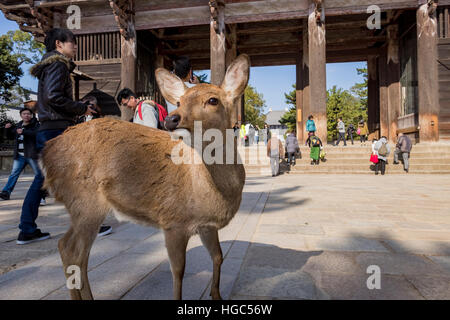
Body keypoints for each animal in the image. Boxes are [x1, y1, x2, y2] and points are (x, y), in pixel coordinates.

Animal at [39, 53, 250, 300]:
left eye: (213, 100)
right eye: (179, 102)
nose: (172, 119)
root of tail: (45, 153)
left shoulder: (207, 226)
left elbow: (218, 256)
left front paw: (216, 295)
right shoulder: (173, 221)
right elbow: (178, 271)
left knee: (75, 252)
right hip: (85, 201)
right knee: (71, 249)